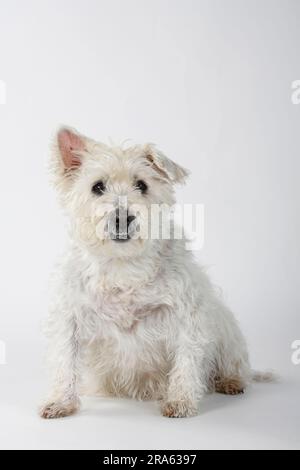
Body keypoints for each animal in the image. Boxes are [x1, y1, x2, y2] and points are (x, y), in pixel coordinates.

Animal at [40, 127, 272, 418]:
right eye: (97, 187)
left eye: (142, 185)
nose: (122, 218)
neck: (123, 264)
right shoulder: (70, 317)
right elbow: (65, 360)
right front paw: (61, 402)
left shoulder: (187, 318)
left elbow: (186, 361)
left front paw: (180, 401)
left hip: (227, 332)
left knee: (236, 366)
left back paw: (230, 382)